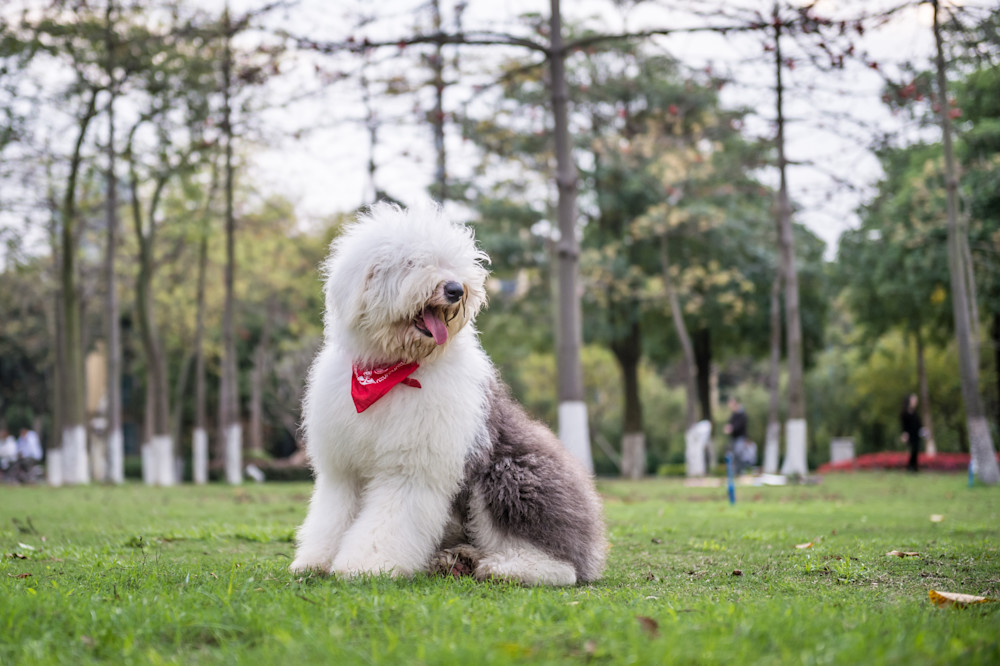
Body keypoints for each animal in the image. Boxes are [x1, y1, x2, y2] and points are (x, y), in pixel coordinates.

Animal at [286, 201, 604, 580]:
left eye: (453, 263)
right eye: (411, 262)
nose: (455, 289)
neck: (391, 372)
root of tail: (591, 548)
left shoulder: (412, 467)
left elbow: (388, 520)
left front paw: (366, 565)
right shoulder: (342, 469)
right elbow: (333, 515)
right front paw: (316, 560)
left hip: (509, 474)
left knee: (559, 563)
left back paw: (502, 567)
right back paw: (456, 558)